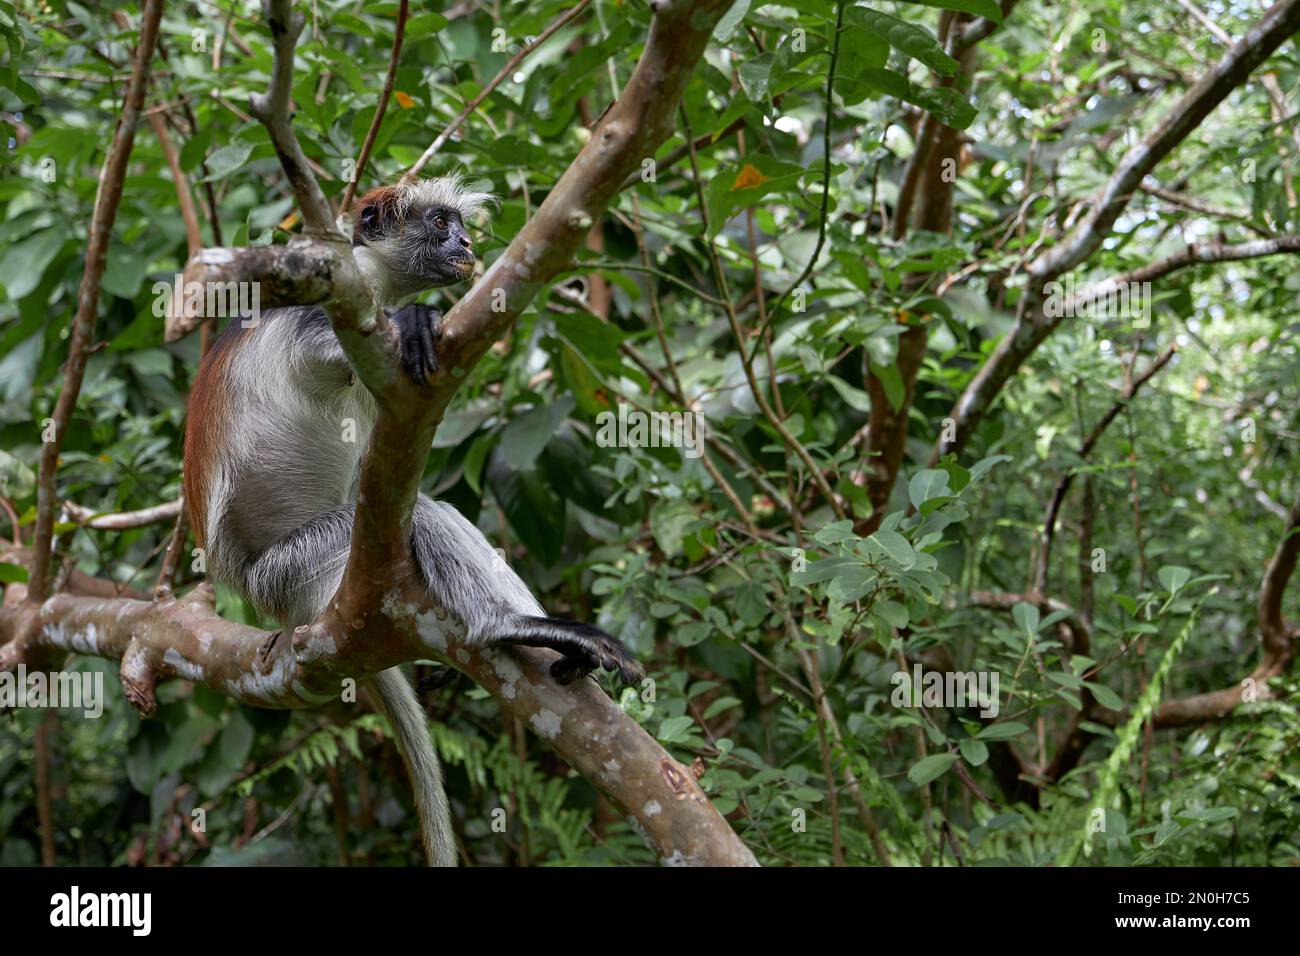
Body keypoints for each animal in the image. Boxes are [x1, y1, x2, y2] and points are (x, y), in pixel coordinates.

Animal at [184, 178, 644, 868]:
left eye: (457, 224)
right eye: (438, 223)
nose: (466, 242)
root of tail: (248, 585)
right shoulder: (322, 305)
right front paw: (413, 322)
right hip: (293, 567)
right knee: (422, 515)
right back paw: (504, 626)